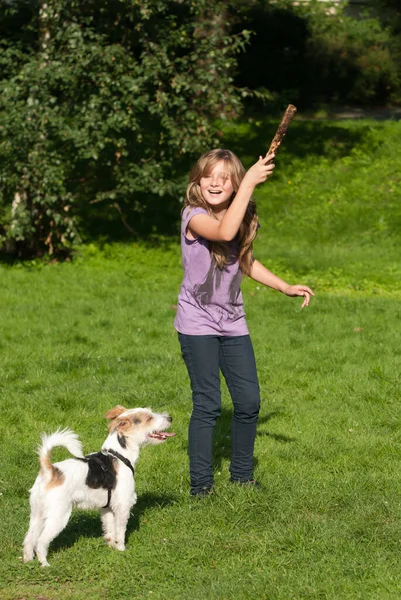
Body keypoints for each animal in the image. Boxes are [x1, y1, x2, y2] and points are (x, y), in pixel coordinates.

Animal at [23, 406, 173, 564]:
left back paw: (28, 560)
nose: (170, 418)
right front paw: (121, 549)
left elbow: (110, 530)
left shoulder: (107, 508)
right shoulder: (123, 506)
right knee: (40, 542)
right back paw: (45, 564)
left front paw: (112, 547)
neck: (119, 455)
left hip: (37, 514)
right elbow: (120, 532)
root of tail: (50, 471)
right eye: (149, 418)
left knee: (29, 539)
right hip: (58, 516)